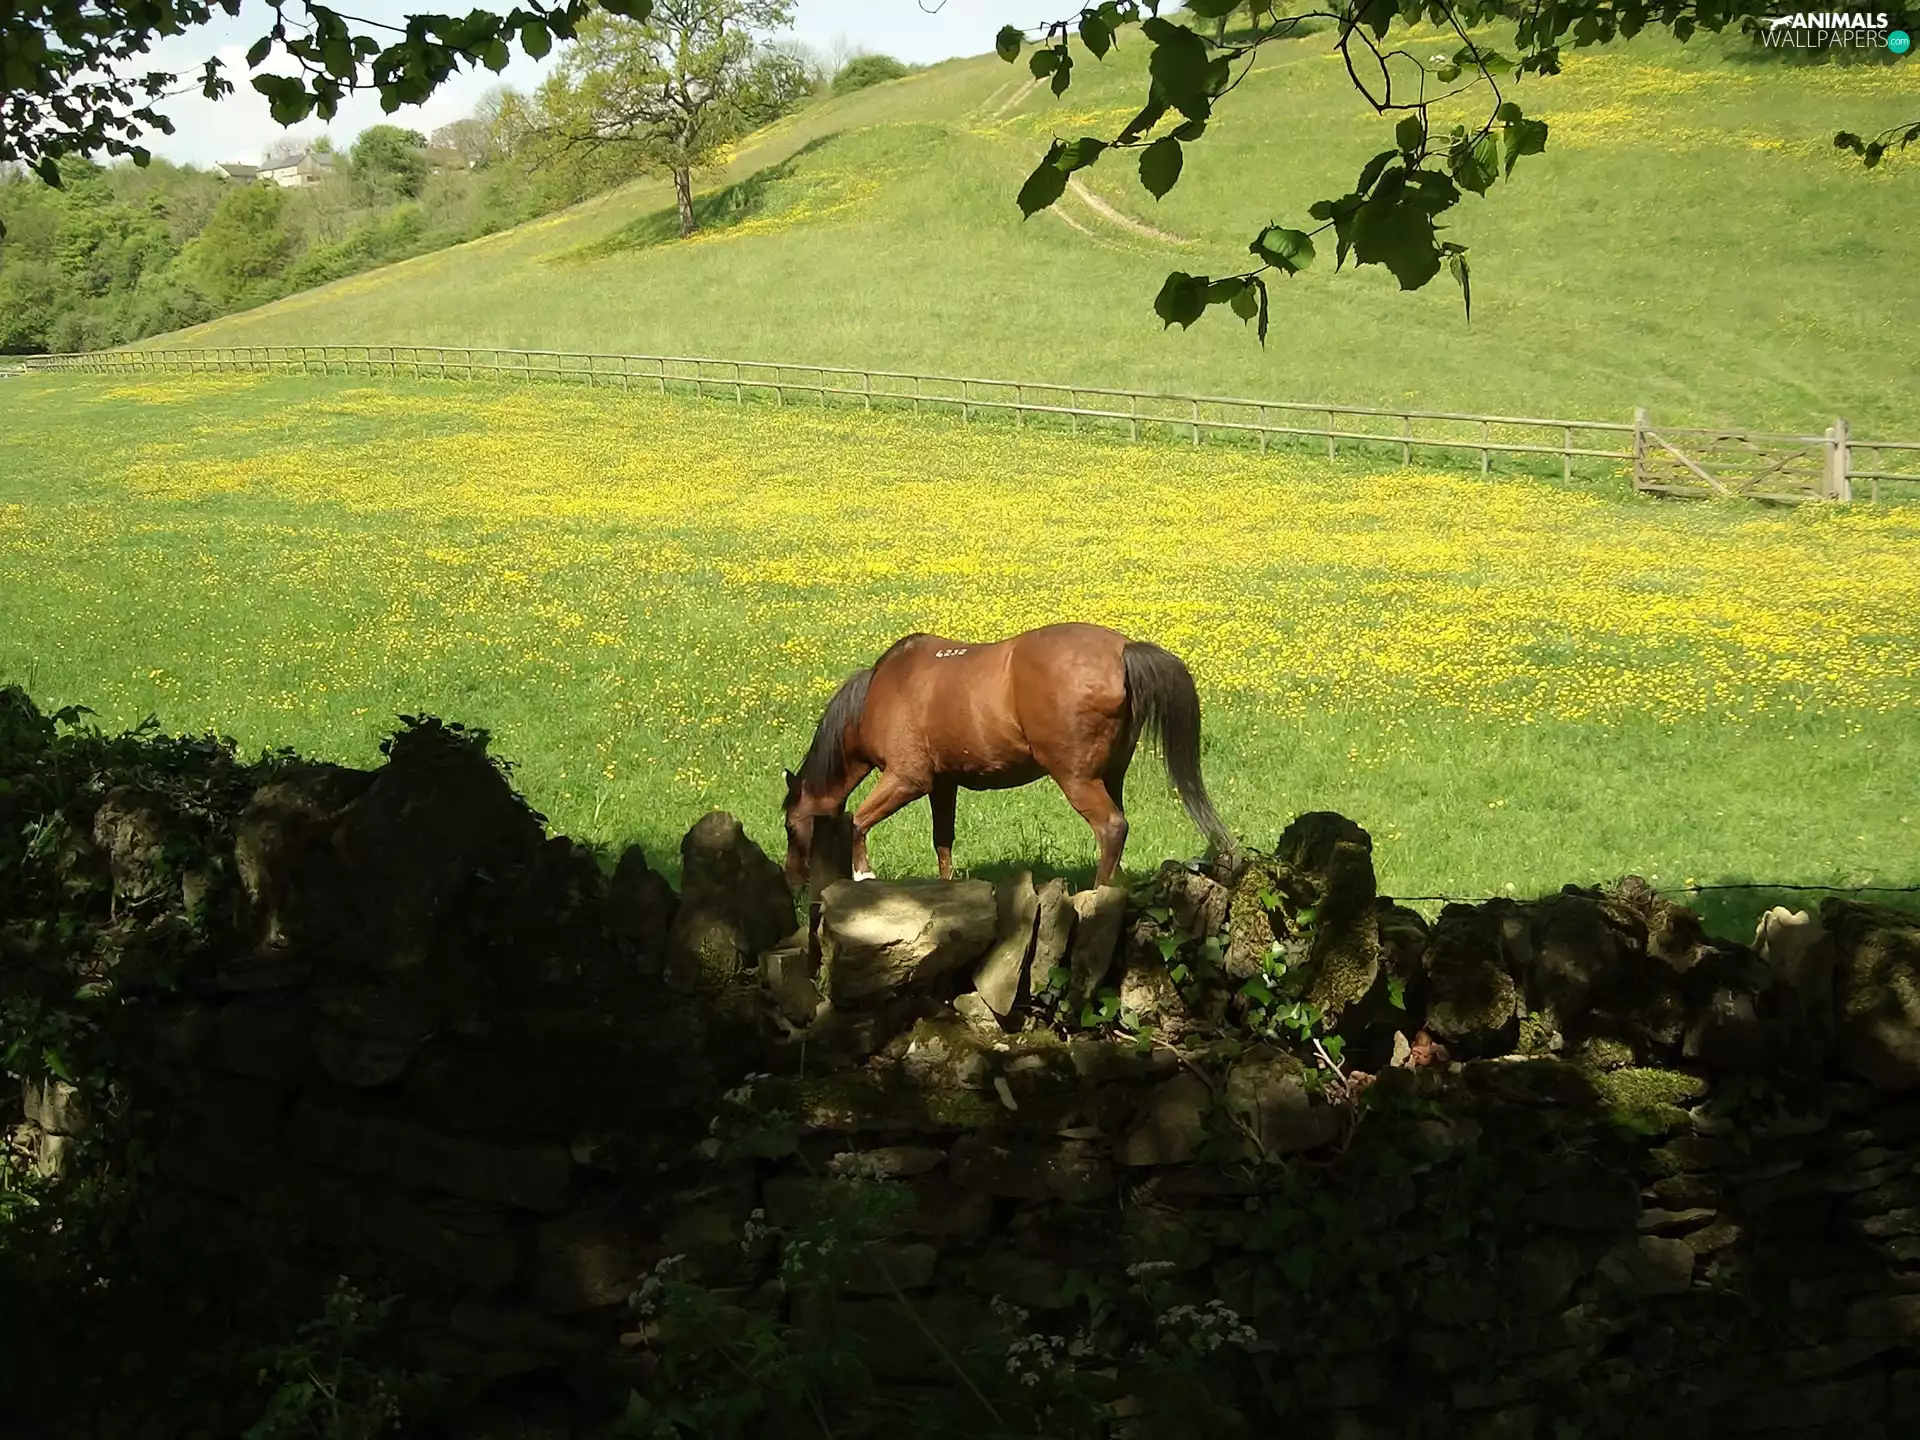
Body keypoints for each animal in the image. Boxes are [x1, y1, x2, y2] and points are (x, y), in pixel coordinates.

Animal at [780, 623, 1233, 890]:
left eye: (789, 826)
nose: (793, 882)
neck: (880, 691)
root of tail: (1123, 650)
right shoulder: (943, 784)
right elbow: (942, 841)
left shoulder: (907, 780)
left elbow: (857, 822)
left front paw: (863, 874)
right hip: (1111, 776)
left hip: (1077, 779)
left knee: (1111, 828)